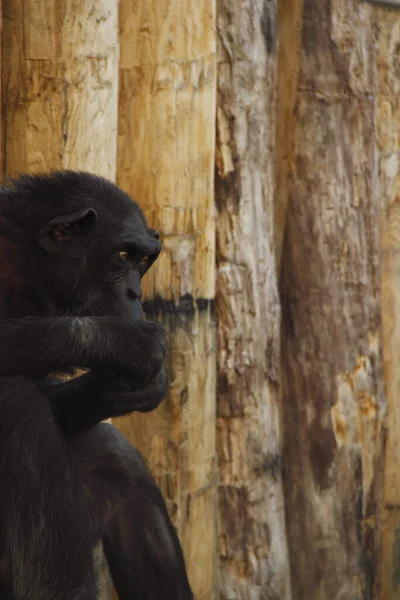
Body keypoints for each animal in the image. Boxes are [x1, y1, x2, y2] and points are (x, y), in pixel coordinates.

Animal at [0, 171, 194, 596]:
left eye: (144, 260)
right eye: (123, 256)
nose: (135, 292)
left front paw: (124, 388)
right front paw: (130, 343)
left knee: (113, 457)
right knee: (17, 403)